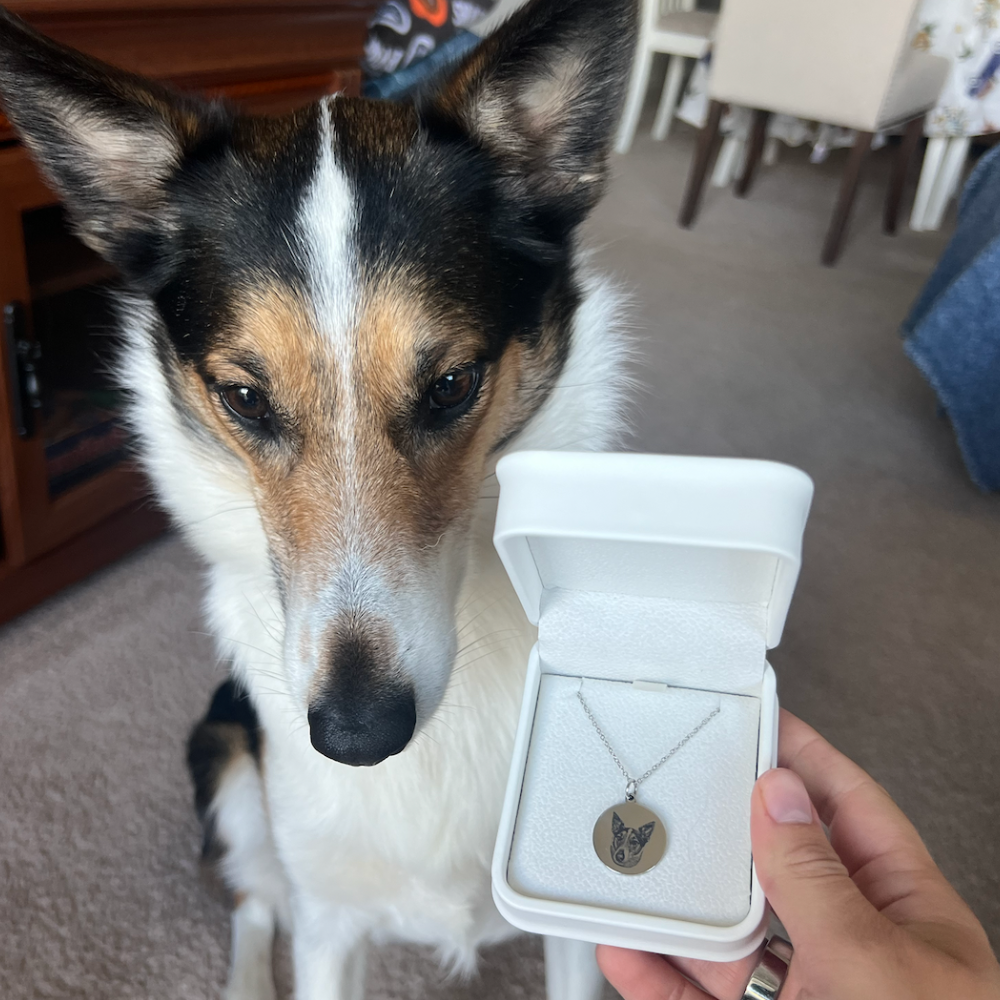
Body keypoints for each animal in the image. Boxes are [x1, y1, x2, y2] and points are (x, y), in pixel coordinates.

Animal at [0, 1, 636, 992]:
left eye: (453, 384)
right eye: (244, 398)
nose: (357, 734)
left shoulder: (578, 938)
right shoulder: (328, 920)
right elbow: (294, 917)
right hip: (224, 757)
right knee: (255, 902)